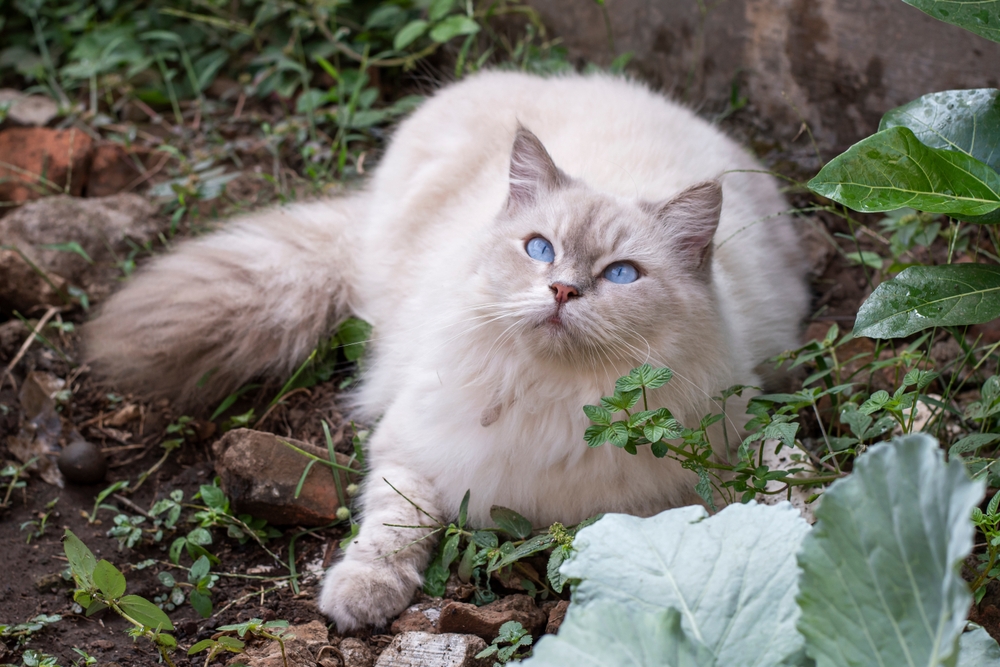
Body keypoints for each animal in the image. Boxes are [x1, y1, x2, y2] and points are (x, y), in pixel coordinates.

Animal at [84, 72, 804, 632]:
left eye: (621, 274)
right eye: (539, 248)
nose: (562, 289)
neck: (558, 398)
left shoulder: (733, 437)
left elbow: (781, 476)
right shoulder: (411, 449)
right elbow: (394, 528)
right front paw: (359, 600)